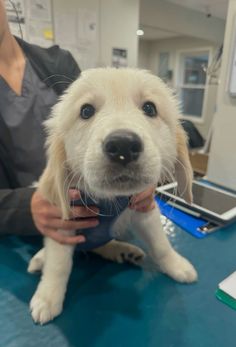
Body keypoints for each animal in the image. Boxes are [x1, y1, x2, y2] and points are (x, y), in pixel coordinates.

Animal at [28, 68, 197, 326]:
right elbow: (58, 265)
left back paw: (124, 251)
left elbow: (161, 244)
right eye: (86, 111)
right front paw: (47, 298)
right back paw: (40, 258)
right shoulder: (62, 220)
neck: (110, 199)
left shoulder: (144, 209)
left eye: (150, 108)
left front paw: (176, 265)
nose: (123, 145)